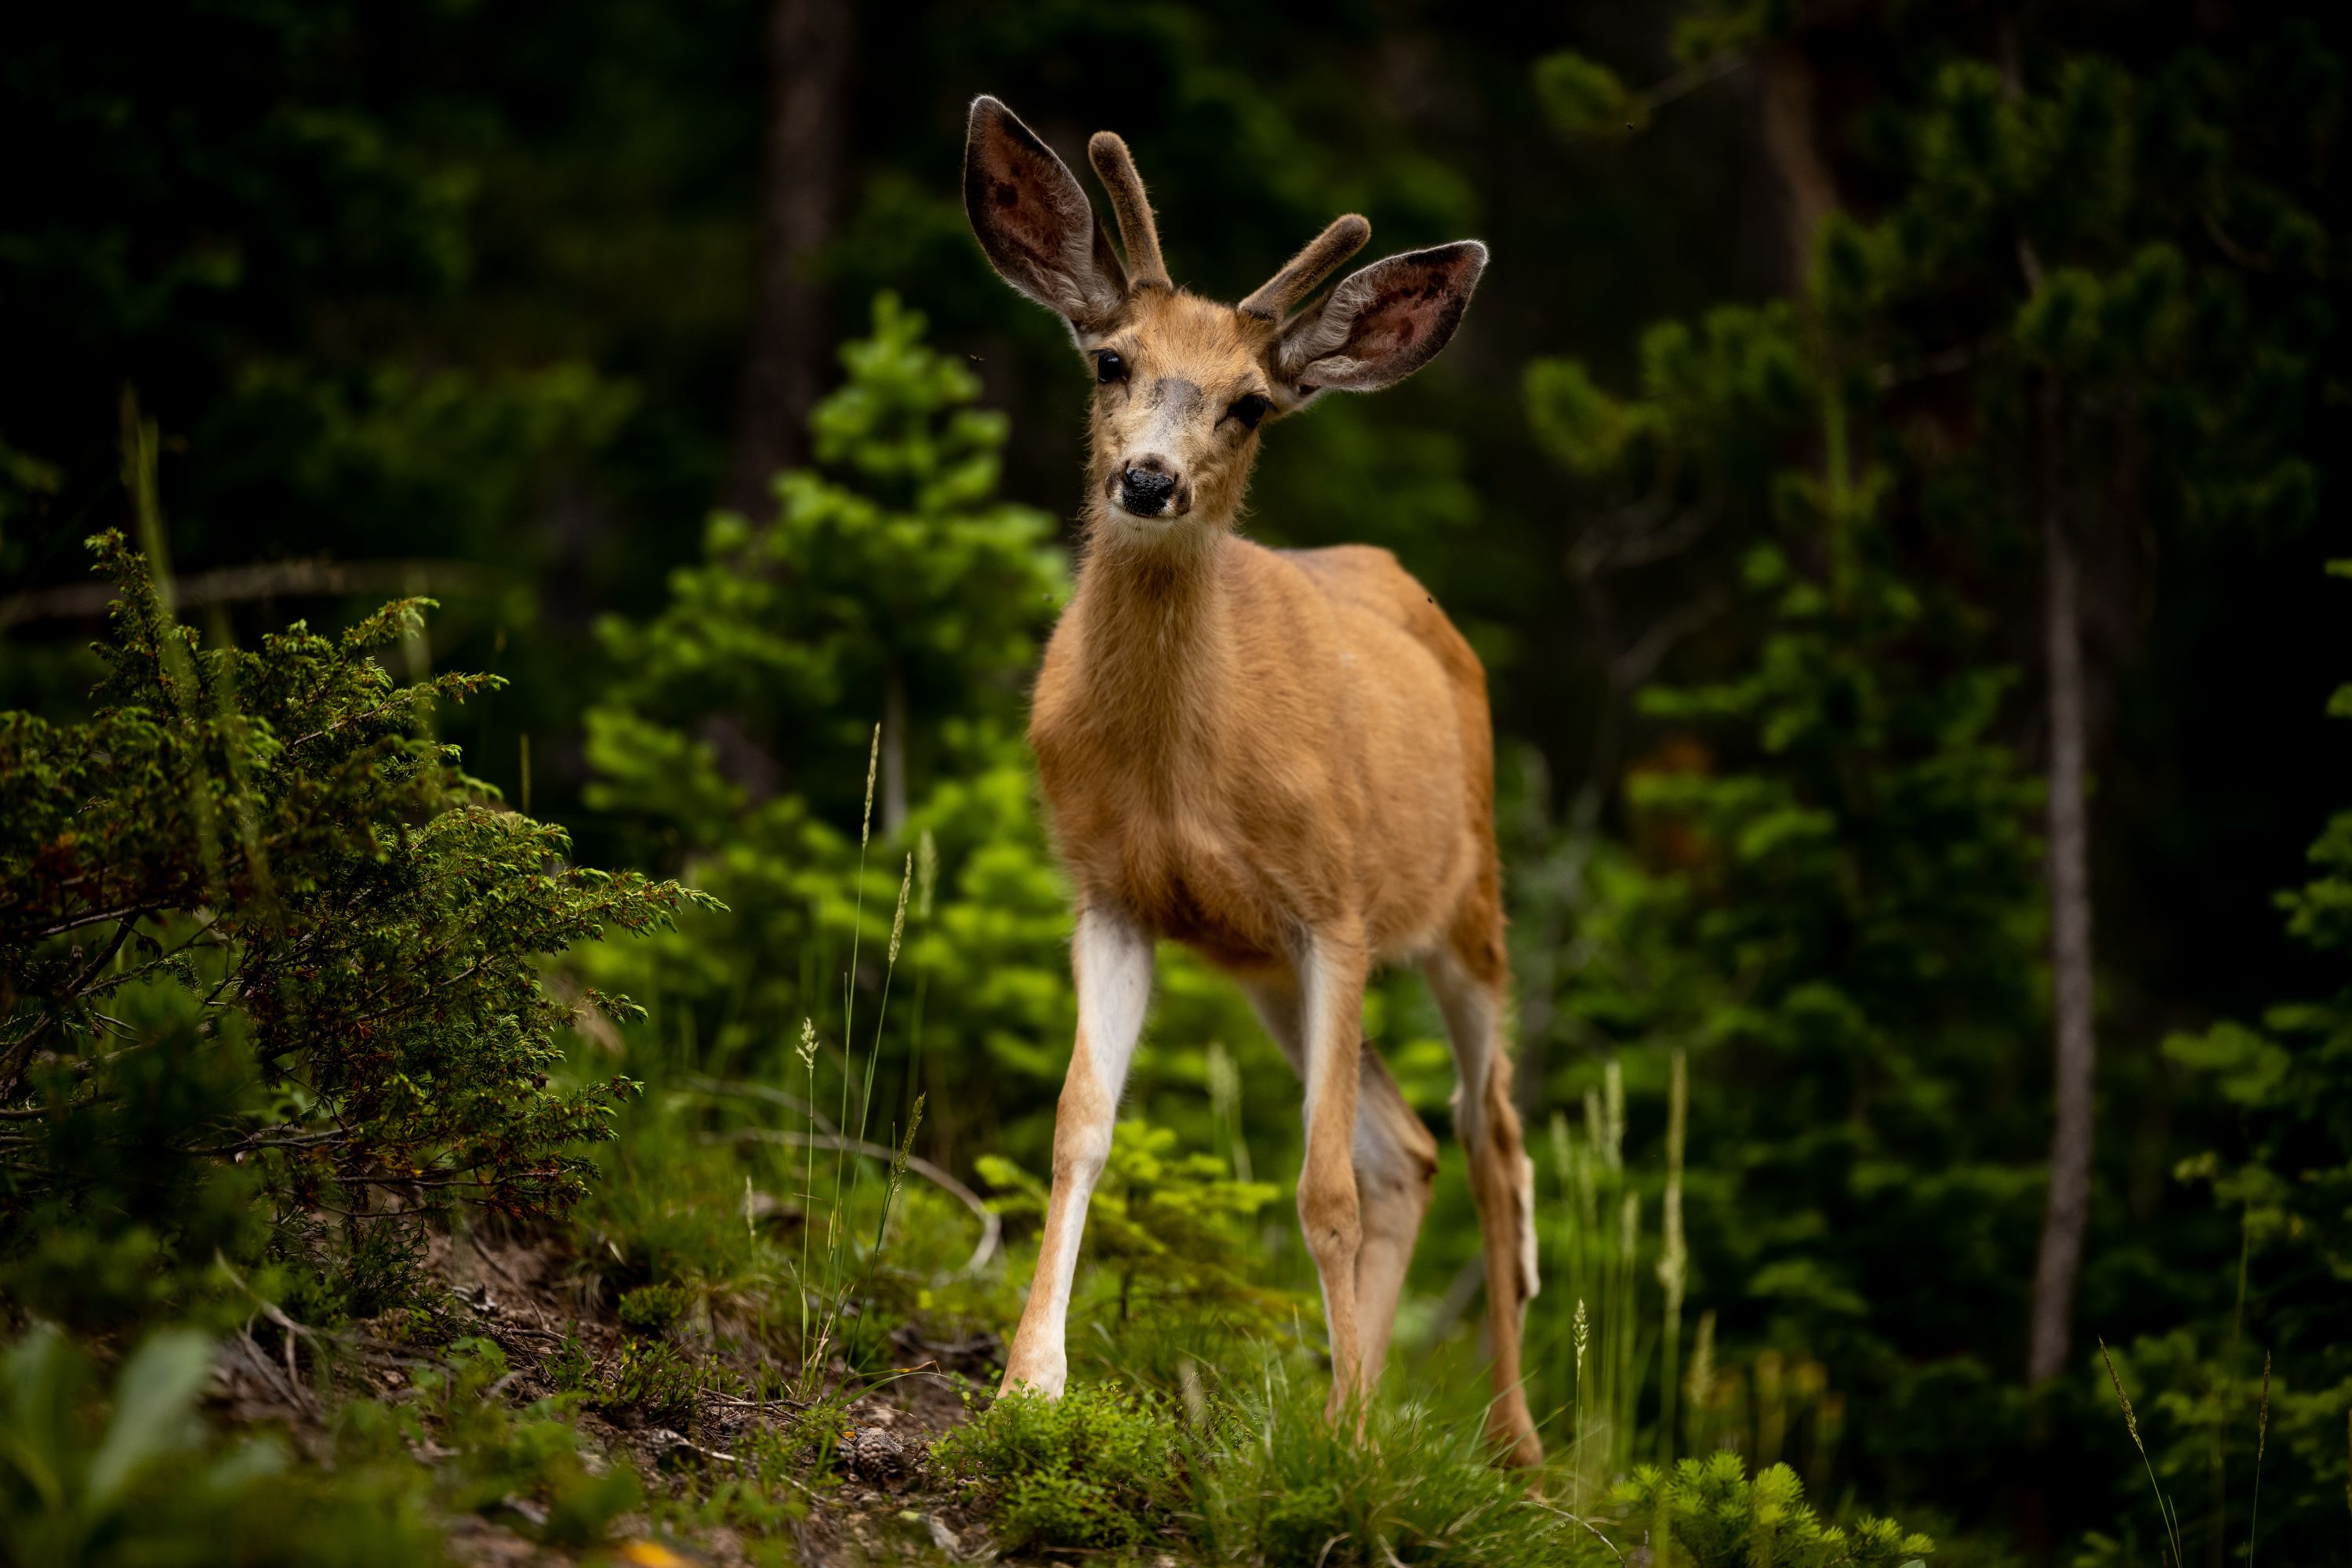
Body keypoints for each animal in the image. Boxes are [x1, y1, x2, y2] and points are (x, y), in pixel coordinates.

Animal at [962, 96, 1543, 1467]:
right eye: (1110, 361)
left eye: (1251, 406)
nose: (1149, 479)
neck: (1183, 765)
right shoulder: (1111, 895)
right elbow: (1078, 1125)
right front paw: (1028, 1382)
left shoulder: (1335, 905)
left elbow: (1318, 1188)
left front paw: (1349, 1461)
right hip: (1270, 971)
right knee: (1412, 1148)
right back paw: (1358, 1404)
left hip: (1466, 908)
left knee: (1491, 1140)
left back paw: (1512, 1447)